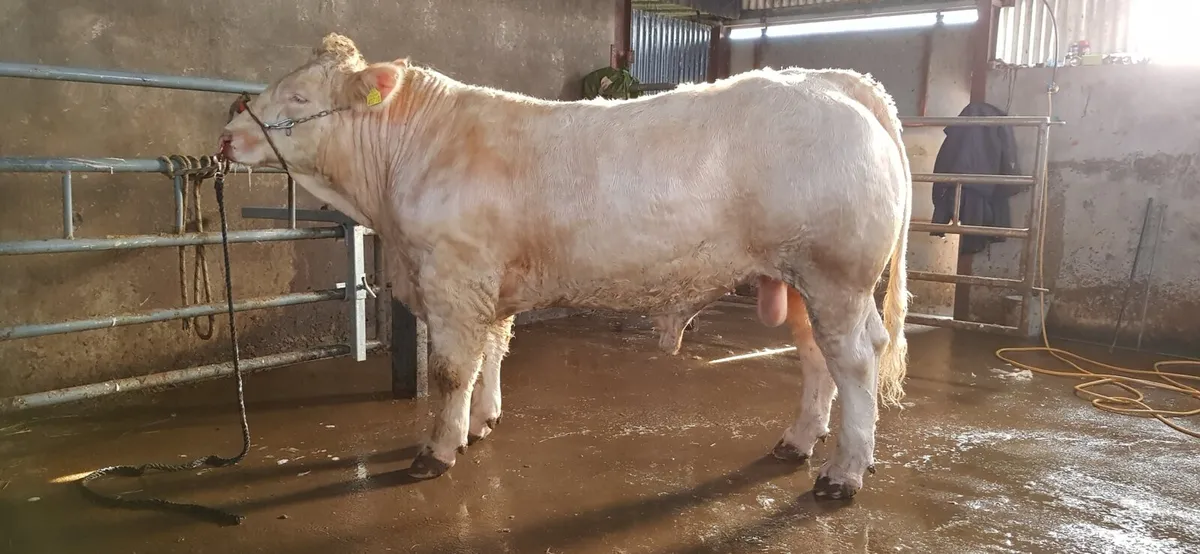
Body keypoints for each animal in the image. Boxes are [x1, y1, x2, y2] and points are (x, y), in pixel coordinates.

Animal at [220, 33, 912, 499]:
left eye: (300, 95)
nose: (227, 133)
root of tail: (831, 79)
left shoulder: (453, 277)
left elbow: (450, 369)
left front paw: (437, 451)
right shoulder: (488, 283)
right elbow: (492, 350)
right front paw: (481, 423)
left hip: (835, 275)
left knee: (853, 361)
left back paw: (844, 473)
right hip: (797, 279)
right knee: (817, 355)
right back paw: (797, 442)